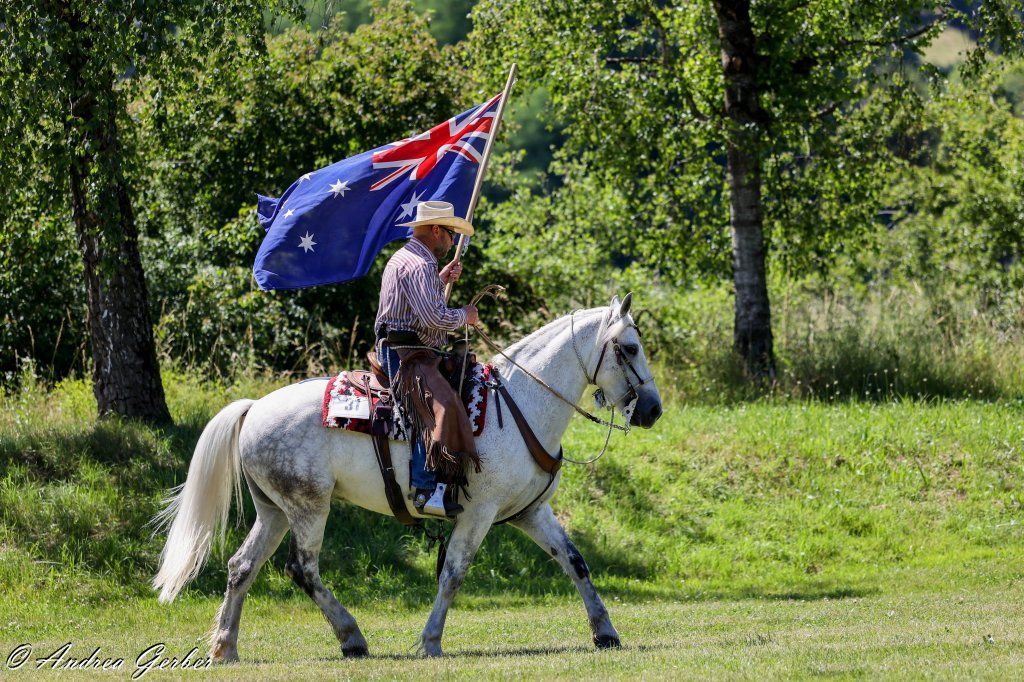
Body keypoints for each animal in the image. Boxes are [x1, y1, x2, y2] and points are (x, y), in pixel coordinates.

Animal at [152, 293, 663, 660]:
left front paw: (606, 631)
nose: (653, 410)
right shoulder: (478, 512)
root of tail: (254, 406)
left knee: (242, 567)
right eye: (630, 348)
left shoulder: (530, 511)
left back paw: (226, 647)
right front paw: (431, 640)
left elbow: (574, 561)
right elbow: (454, 574)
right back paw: (352, 637)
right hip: (309, 506)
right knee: (303, 568)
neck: (519, 402)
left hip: (273, 511)